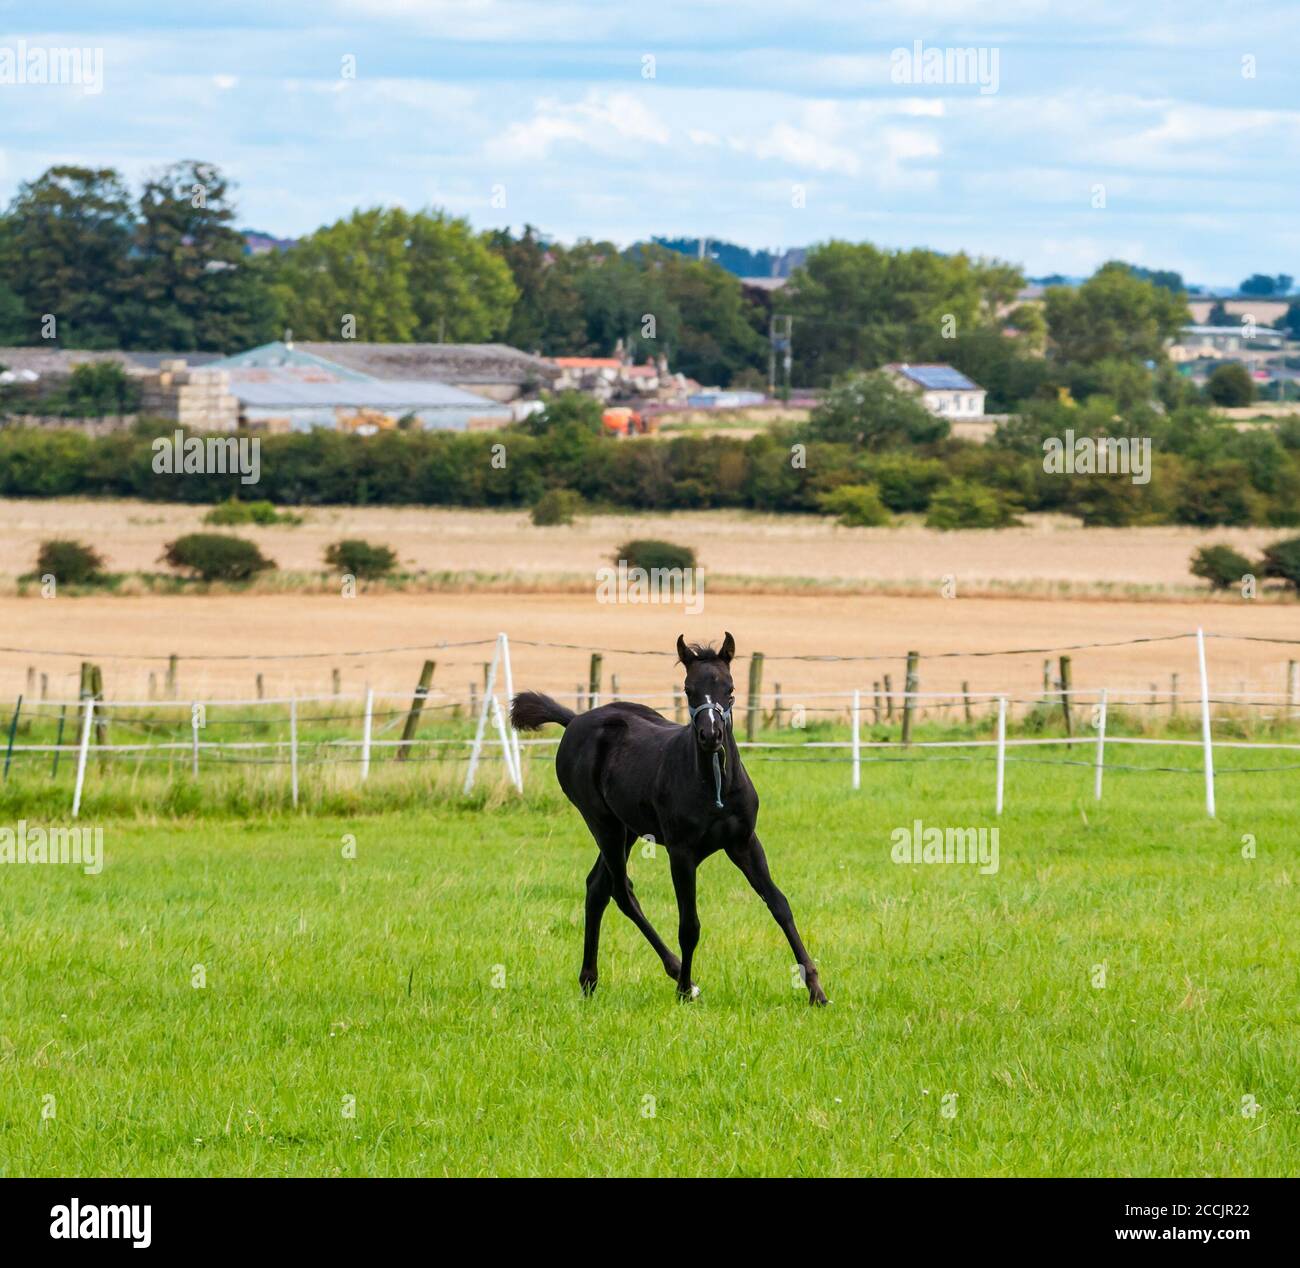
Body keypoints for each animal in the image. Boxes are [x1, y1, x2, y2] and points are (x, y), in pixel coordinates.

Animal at [510, 632, 829, 1005]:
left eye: (730, 688)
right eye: (689, 689)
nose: (710, 735)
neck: (715, 786)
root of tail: (575, 720)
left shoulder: (744, 843)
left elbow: (779, 904)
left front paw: (816, 990)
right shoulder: (681, 853)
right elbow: (689, 925)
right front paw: (685, 990)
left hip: (628, 829)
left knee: (597, 887)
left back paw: (590, 979)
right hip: (602, 823)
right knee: (620, 889)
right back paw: (672, 972)